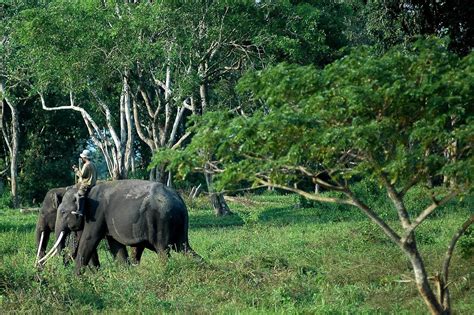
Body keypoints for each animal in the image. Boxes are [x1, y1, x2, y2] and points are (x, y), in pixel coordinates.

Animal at [51, 180, 199, 274]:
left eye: (63, 212)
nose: (64, 267)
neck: (87, 188)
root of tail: (180, 201)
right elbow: (115, 245)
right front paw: (126, 274)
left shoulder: (96, 213)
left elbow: (89, 240)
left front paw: (75, 279)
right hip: (177, 225)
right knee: (184, 248)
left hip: (161, 221)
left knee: (163, 251)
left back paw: (165, 272)